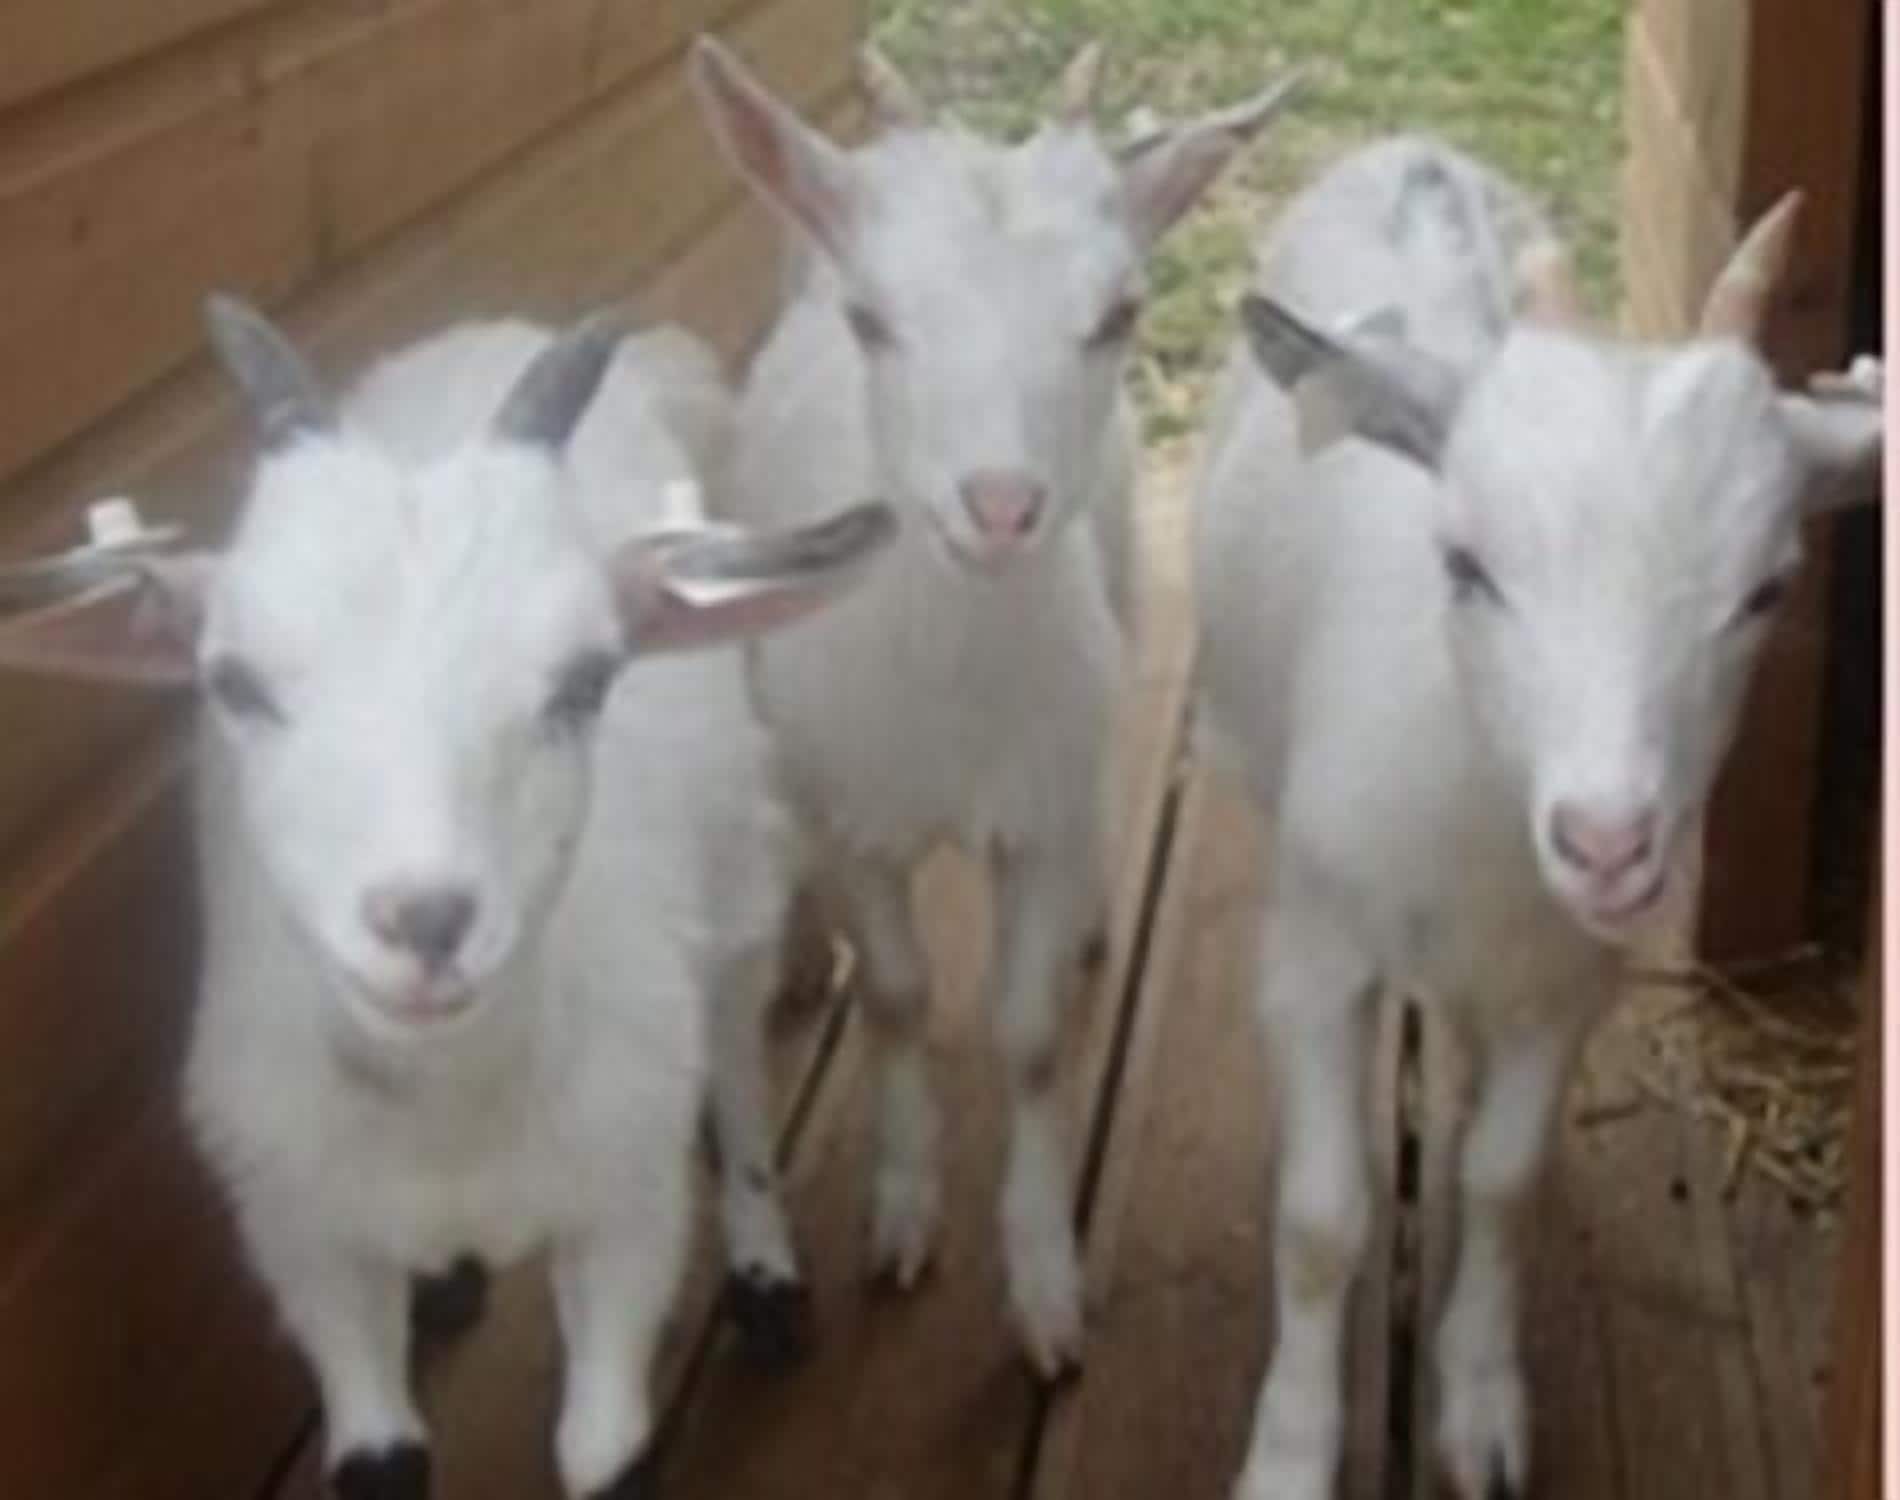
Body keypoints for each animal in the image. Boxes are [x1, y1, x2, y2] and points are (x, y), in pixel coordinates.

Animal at [0, 300, 893, 1500]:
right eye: (233, 681)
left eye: (587, 680)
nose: (425, 922)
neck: (450, 1114)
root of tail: (496, 325)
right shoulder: (306, 1243)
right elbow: (378, 1457)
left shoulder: (623, 1212)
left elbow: (604, 1450)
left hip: (736, 888)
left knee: (739, 1064)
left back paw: (767, 1279)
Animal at [684, 34, 1299, 1377]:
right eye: (871, 319)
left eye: (1119, 314)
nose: (1002, 507)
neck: (955, 704)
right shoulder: (855, 819)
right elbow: (899, 995)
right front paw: (904, 1210)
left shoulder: (1045, 811)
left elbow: (1026, 1034)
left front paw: (1042, 1283)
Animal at [1192, 136, 1883, 1500]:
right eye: (1464, 562)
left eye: (1769, 587)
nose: (1605, 843)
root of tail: (1409, 148)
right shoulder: (1315, 956)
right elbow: (1319, 1221)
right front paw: (1289, 1454)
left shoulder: (1567, 982)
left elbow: (1505, 1180)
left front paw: (1479, 1413)